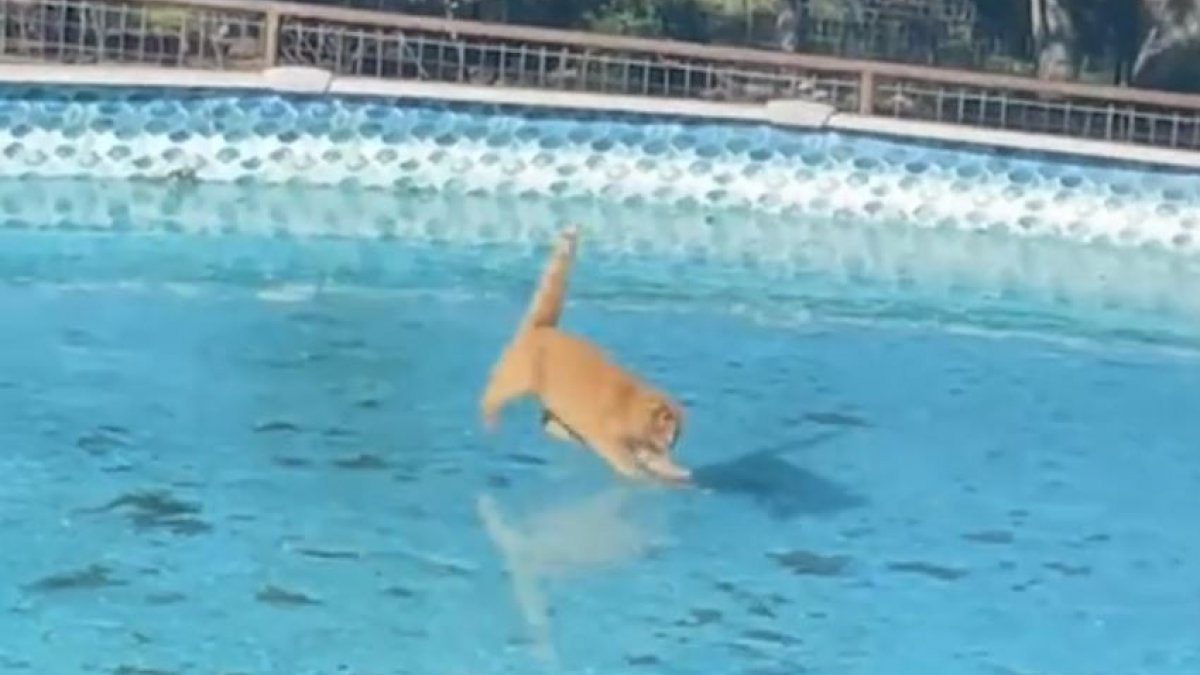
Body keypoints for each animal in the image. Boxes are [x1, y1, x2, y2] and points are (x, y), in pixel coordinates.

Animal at [475, 228, 691, 480]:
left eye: (677, 435)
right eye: (670, 429)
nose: (672, 444)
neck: (630, 403)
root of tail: (541, 328)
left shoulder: (638, 442)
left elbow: (652, 458)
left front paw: (675, 470)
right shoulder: (606, 435)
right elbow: (623, 457)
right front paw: (636, 471)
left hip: (555, 402)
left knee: (547, 423)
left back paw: (569, 436)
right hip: (515, 378)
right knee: (493, 393)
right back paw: (489, 419)